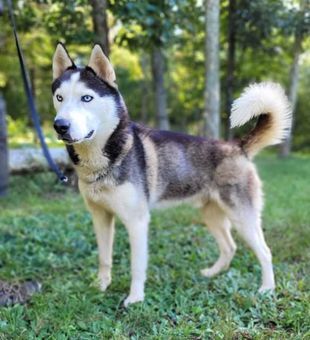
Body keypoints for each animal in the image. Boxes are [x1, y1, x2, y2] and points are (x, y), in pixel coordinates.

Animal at [52, 43, 292, 306]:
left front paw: (135, 298)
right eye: (59, 97)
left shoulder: (137, 221)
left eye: (87, 98)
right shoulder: (100, 217)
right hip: (211, 214)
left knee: (265, 251)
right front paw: (101, 285)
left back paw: (267, 288)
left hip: (242, 217)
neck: (103, 160)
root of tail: (237, 146)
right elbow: (104, 257)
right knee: (230, 247)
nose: (60, 126)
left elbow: (137, 266)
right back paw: (212, 273)